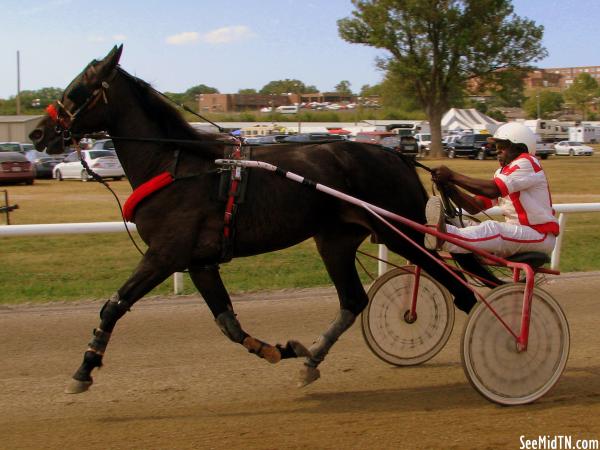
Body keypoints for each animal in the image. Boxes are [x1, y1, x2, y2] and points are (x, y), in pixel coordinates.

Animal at [30, 44, 480, 392]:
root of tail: (397, 154)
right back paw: (311, 360)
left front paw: (84, 369)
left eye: (76, 89)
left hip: (402, 233)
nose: (37, 133)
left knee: (462, 292)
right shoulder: (199, 261)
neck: (176, 164)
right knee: (354, 300)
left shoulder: (164, 255)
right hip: (335, 240)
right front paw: (281, 350)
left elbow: (113, 306)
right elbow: (228, 323)